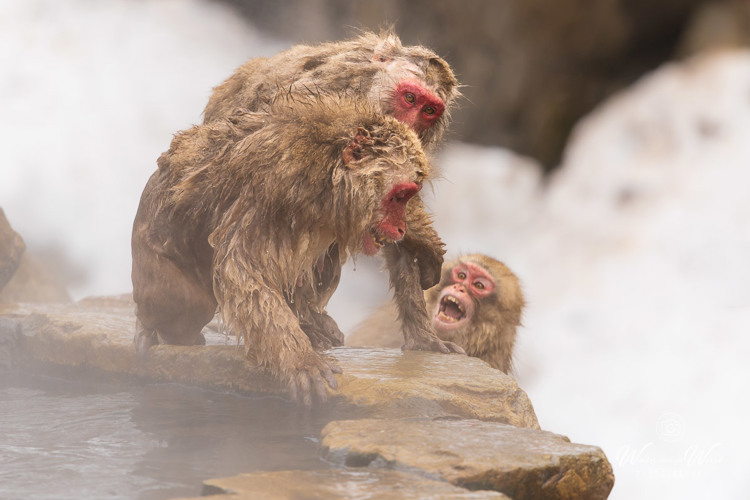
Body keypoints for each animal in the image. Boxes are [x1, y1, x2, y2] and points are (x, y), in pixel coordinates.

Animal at [131, 97, 463, 406]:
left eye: (407, 197)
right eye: (399, 196)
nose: (401, 227)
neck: (327, 173)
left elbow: (399, 254)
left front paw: (423, 336)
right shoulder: (272, 187)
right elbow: (242, 269)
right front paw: (301, 361)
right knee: (185, 306)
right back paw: (153, 330)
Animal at [201, 31, 460, 350]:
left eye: (429, 110)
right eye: (409, 97)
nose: (409, 125)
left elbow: (391, 207)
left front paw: (422, 334)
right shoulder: (322, 97)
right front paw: (426, 241)